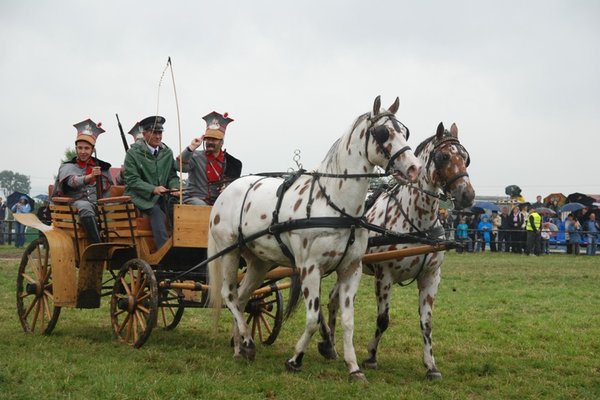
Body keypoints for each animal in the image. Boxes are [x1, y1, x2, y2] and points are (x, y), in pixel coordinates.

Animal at [210, 95, 422, 380]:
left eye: (403, 131)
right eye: (383, 132)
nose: (414, 167)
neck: (336, 205)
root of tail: (227, 189)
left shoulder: (350, 269)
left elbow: (348, 320)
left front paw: (354, 367)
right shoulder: (309, 268)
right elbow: (311, 319)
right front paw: (295, 359)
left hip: (259, 262)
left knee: (243, 299)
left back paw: (240, 346)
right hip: (230, 252)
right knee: (229, 295)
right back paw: (245, 341)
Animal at [322, 121, 476, 378]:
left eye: (466, 157)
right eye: (444, 156)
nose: (467, 195)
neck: (416, 222)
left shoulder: (431, 276)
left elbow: (427, 323)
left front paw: (431, 366)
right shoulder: (384, 275)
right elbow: (383, 319)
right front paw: (371, 356)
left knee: (334, 300)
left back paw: (330, 347)